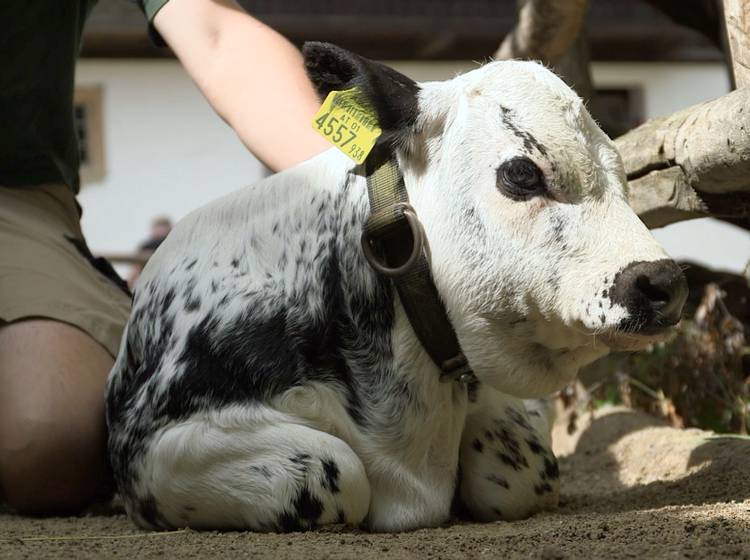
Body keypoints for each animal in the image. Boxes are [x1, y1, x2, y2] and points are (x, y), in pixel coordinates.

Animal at [106, 41, 688, 532]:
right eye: (522, 173)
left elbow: (521, 470)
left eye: (621, 173)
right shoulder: (148, 447)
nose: (662, 282)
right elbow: (334, 470)